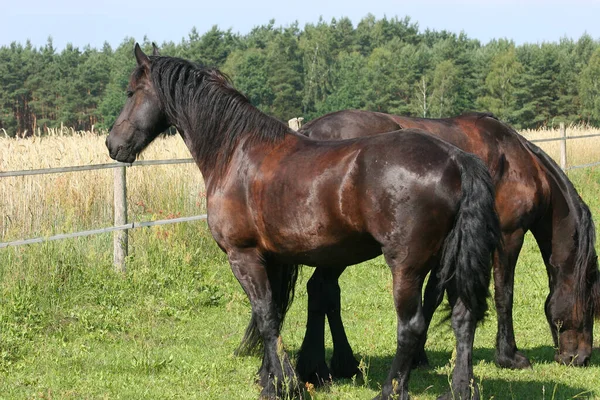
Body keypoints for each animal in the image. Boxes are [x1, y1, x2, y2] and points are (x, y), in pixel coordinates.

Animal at [104, 44, 502, 400]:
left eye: (131, 92)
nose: (112, 143)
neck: (237, 152)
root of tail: (456, 159)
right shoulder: (274, 258)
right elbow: (275, 313)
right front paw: (271, 379)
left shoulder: (243, 256)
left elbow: (266, 315)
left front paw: (286, 385)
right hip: (447, 261)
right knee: (463, 316)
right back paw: (459, 389)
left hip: (406, 266)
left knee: (411, 326)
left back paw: (390, 390)